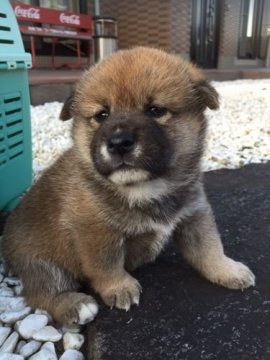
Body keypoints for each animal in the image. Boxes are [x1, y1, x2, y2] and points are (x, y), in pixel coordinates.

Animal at [1, 47, 255, 326]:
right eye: (102, 115)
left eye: (155, 110)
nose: (119, 143)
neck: (145, 187)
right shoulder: (96, 232)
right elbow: (107, 265)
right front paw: (119, 288)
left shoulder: (194, 215)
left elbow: (209, 248)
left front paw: (227, 269)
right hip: (41, 264)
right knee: (40, 294)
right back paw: (76, 305)